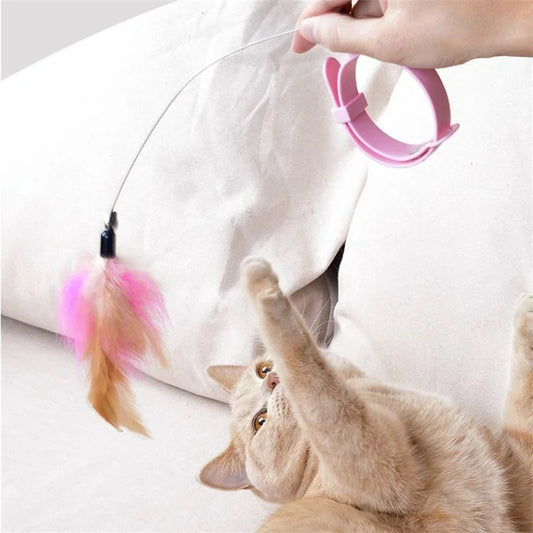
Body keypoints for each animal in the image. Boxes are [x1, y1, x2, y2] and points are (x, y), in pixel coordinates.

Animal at [200, 258, 532, 532]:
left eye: (264, 369)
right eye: (260, 421)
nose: (273, 380)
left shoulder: (519, 461)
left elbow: (523, 390)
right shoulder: (380, 470)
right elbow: (312, 380)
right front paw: (260, 287)